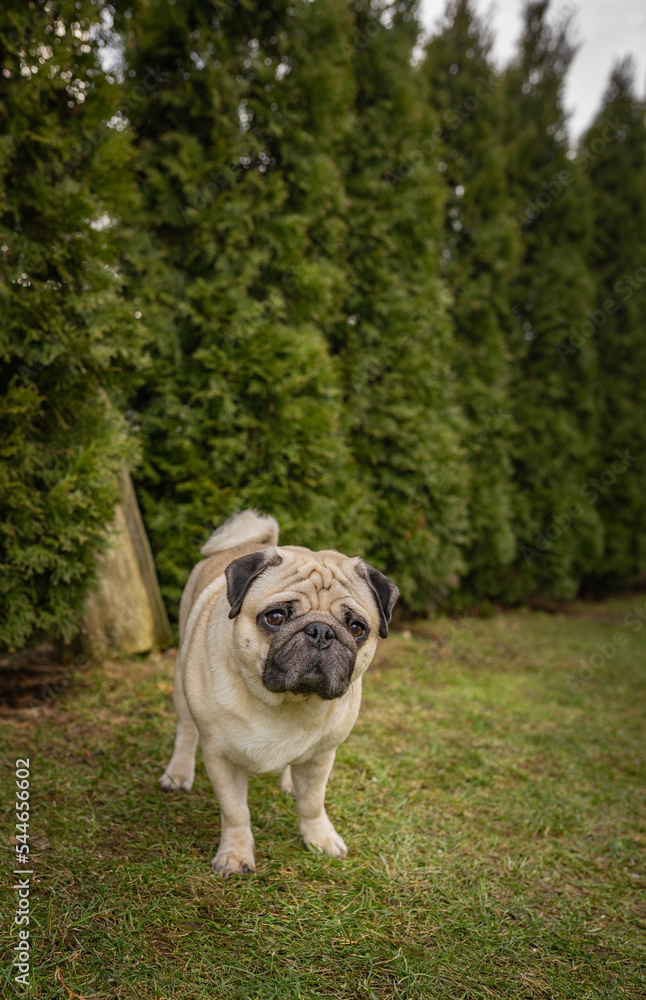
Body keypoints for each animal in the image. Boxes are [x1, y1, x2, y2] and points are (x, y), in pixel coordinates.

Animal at [159, 508, 398, 876]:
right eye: (275, 617)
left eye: (357, 628)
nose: (321, 631)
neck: (287, 701)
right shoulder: (221, 758)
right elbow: (235, 812)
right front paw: (235, 855)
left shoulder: (321, 757)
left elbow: (313, 803)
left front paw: (319, 837)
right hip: (181, 686)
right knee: (186, 730)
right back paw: (178, 773)